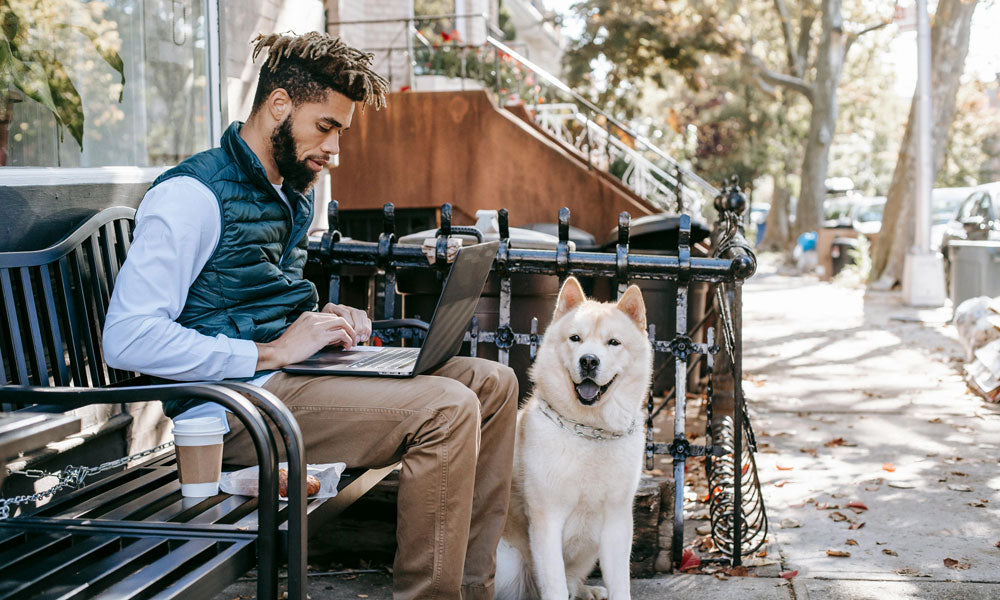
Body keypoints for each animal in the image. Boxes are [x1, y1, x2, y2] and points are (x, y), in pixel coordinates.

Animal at [494, 276, 652, 600]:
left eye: (613, 342)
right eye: (575, 338)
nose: (589, 361)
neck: (590, 431)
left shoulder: (617, 523)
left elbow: (620, 584)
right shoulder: (547, 520)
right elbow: (553, 583)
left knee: (572, 582)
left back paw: (586, 590)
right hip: (508, 561)